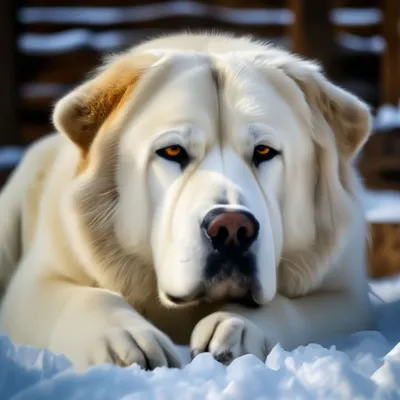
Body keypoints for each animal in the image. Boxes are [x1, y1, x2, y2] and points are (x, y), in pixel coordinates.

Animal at [0, 32, 376, 370]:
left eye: (264, 152)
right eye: (172, 151)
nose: (232, 228)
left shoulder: (345, 296)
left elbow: (291, 309)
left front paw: (236, 328)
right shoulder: (35, 282)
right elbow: (86, 298)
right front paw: (128, 341)